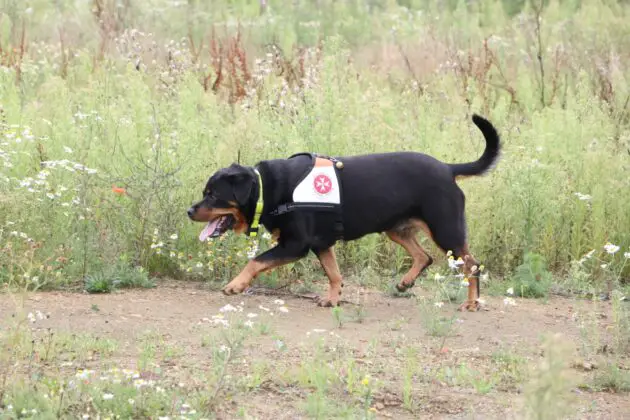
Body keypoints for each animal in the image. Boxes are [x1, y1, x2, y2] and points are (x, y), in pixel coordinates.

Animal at [188, 115, 504, 312]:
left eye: (213, 195)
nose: (190, 210)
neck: (268, 189)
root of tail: (448, 169)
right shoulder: (321, 244)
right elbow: (334, 274)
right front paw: (332, 300)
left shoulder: (296, 245)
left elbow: (256, 261)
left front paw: (235, 285)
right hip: (397, 228)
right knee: (424, 256)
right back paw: (406, 282)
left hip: (445, 229)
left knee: (473, 265)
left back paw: (472, 303)